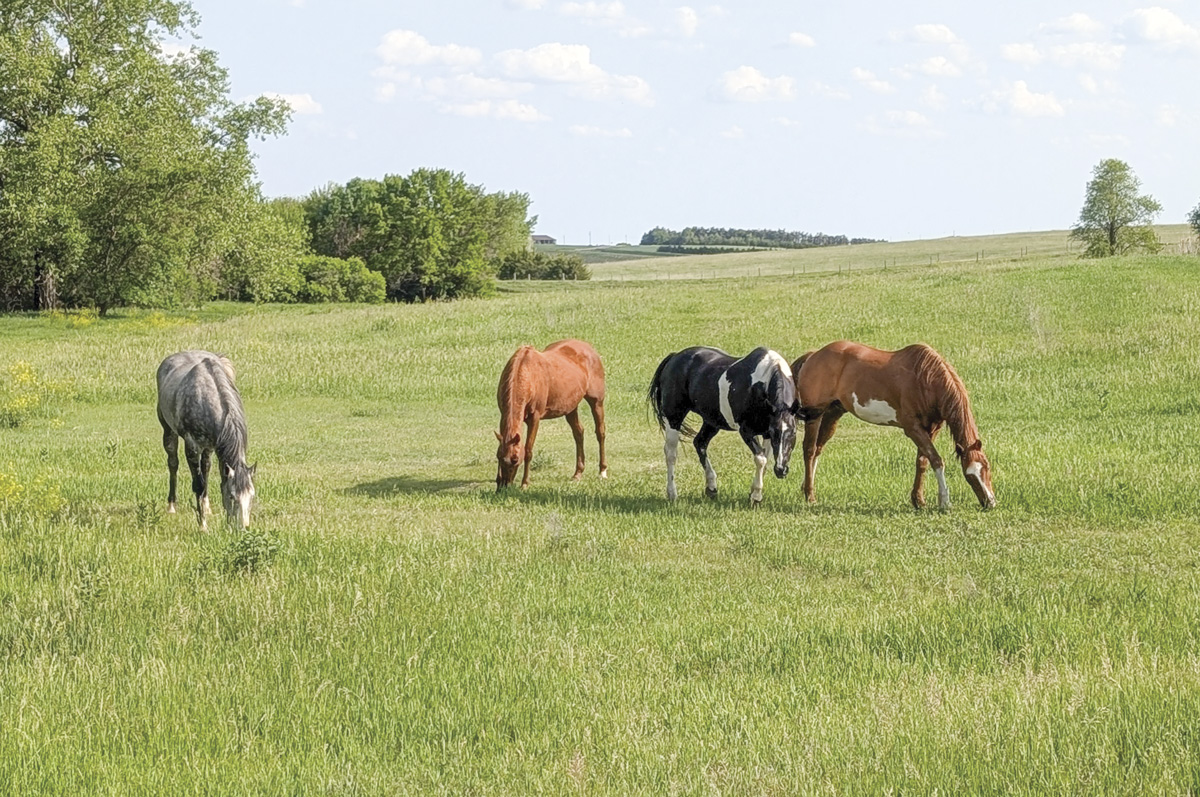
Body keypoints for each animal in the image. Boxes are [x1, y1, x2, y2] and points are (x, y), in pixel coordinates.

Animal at [156, 351, 257, 530]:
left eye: (251, 496)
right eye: (232, 497)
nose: (243, 528)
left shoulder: (212, 446)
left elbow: (208, 475)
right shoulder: (192, 446)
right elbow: (199, 484)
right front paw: (203, 525)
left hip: (207, 448)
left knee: (206, 468)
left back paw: (206, 505)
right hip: (168, 431)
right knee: (173, 463)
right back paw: (171, 506)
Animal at [495, 339, 607, 490]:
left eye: (515, 459)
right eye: (499, 457)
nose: (504, 486)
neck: (526, 373)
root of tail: (589, 348)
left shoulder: (535, 418)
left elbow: (528, 450)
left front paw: (525, 483)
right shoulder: (503, 415)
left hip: (596, 402)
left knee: (600, 432)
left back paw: (602, 471)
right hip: (570, 408)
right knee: (579, 433)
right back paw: (578, 473)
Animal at [647, 346, 799, 506]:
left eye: (793, 433)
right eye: (776, 433)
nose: (781, 470)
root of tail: (674, 357)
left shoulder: (766, 433)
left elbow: (765, 460)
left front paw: (753, 494)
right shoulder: (747, 432)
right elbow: (761, 459)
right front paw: (756, 496)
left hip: (711, 422)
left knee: (700, 443)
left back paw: (711, 487)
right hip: (674, 419)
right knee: (671, 453)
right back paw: (672, 493)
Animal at [792, 340, 995, 510]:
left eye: (987, 467)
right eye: (970, 476)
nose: (990, 502)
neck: (925, 379)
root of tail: (813, 355)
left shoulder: (931, 429)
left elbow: (922, 462)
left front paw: (918, 500)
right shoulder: (912, 429)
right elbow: (936, 460)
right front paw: (944, 502)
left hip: (833, 414)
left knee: (818, 449)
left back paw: (805, 487)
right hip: (815, 415)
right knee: (809, 450)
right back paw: (810, 495)